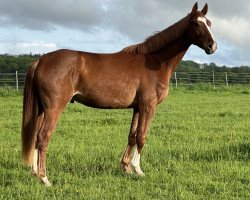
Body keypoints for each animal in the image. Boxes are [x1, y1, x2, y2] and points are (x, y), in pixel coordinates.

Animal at [21, 2, 217, 186]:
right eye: (195, 23)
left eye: (209, 23)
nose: (212, 46)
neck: (155, 62)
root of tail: (40, 61)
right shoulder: (148, 106)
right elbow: (142, 136)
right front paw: (138, 169)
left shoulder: (138, 107)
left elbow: (132, 135)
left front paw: (126, 167)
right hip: (54, 108)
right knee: (43, 137)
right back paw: (44, 178)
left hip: (41, 109)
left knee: (35, 137)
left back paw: (35, 172)